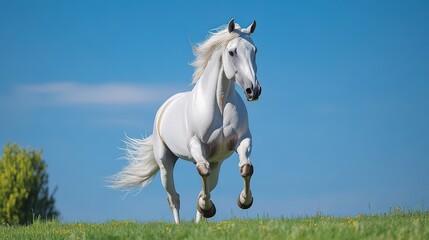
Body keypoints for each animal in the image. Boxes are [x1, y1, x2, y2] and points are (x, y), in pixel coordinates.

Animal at [109, 18, 260, 223]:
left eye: (254, 50)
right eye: (232, 52)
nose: (254, 90)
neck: (219, 105)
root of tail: (164, 108)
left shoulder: (243, 140)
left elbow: (246, 168)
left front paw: (244, 201)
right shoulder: (196, 145)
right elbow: (202, 170)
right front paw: (208, 208)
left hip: (217, 162)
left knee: (205, 186)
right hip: (165, 163)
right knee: (174, 197)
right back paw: (181, 223)